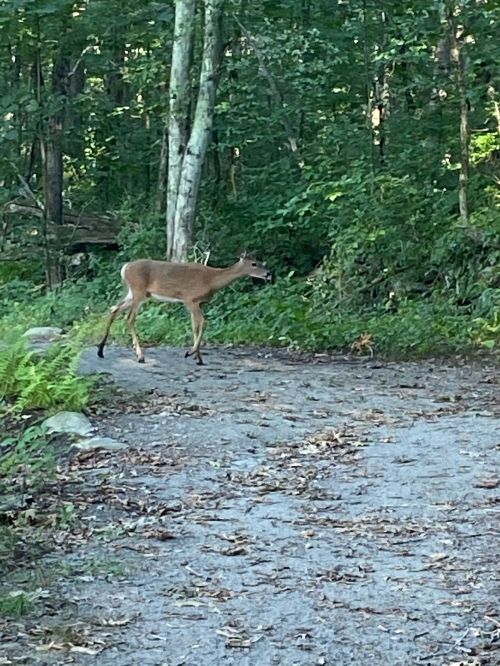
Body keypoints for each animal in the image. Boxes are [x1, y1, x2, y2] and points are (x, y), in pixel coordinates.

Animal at [96, 251, 273, 366]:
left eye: (260, 261)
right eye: (254, 263)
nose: (269, 274)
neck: (212, 280)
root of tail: (124, 267)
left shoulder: (196, 303)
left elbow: (195, 326)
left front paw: (198, 357)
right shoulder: (190, 300)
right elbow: (204, 323)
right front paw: (191, 353)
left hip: (135, 294)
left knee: (114, 310)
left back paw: (101, 350)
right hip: (138, 291)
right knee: (129, 318)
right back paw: (140, 356)